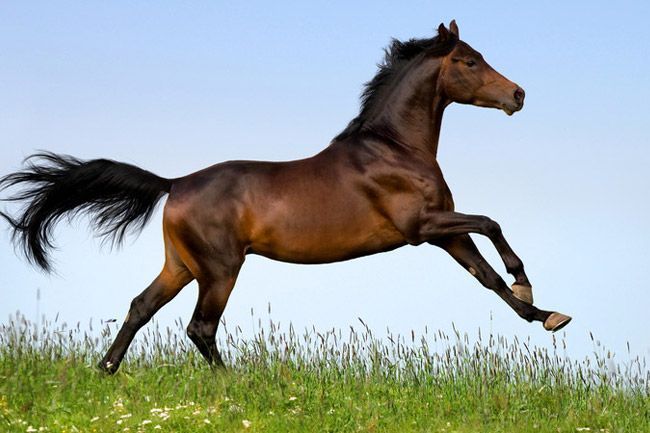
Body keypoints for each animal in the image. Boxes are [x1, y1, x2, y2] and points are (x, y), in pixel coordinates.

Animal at [0, 21, 571, 374]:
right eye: (470, 61)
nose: (518, 94)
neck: (394, 149)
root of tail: (175, 183)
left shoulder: (442, 231)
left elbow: (487, 278)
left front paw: (544, 315)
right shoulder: (423, 227)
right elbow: (492, 224)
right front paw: (529, 286)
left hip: (181, 265)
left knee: (141, 307)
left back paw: (105, 370)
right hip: (220, 268)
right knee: (200, 327)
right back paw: (233, 382)